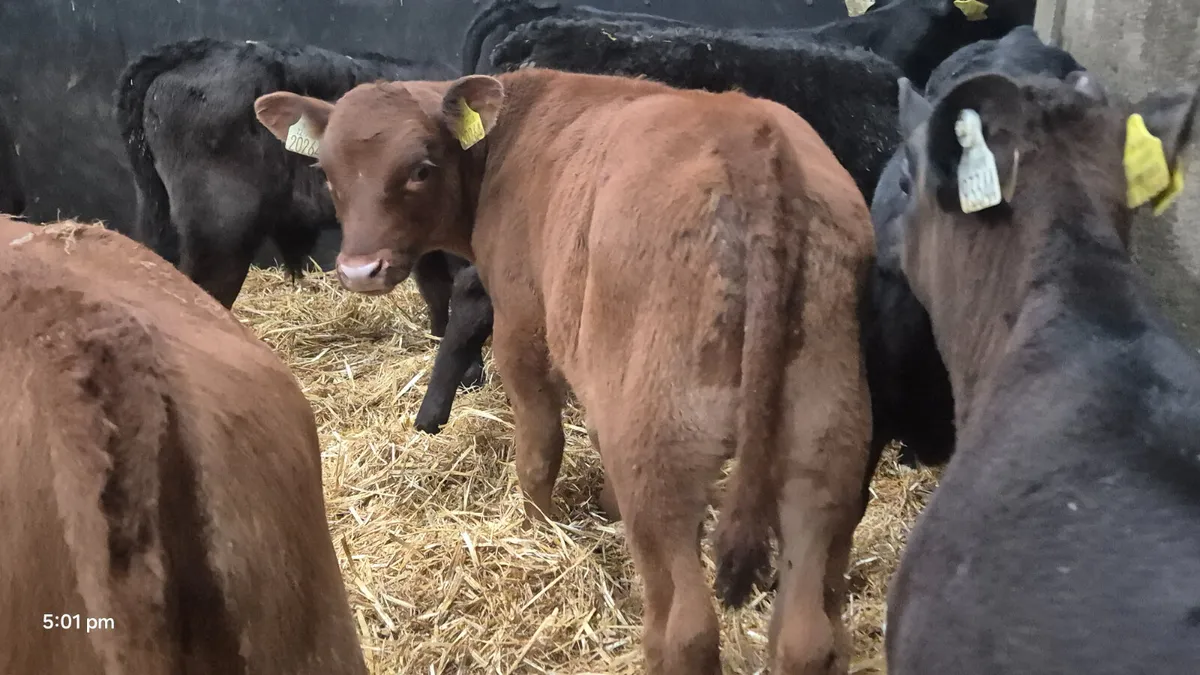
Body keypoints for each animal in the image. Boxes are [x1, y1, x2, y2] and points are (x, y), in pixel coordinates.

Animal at [253, 67, 876, 674]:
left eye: (421, 169)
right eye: (326, 172)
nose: (360, 269)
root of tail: (750, 138)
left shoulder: (523, 325)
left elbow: (539, 446)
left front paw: (536, 526)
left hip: (662, 454)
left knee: (688, 630)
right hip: (824, 450)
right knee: (806, 634)